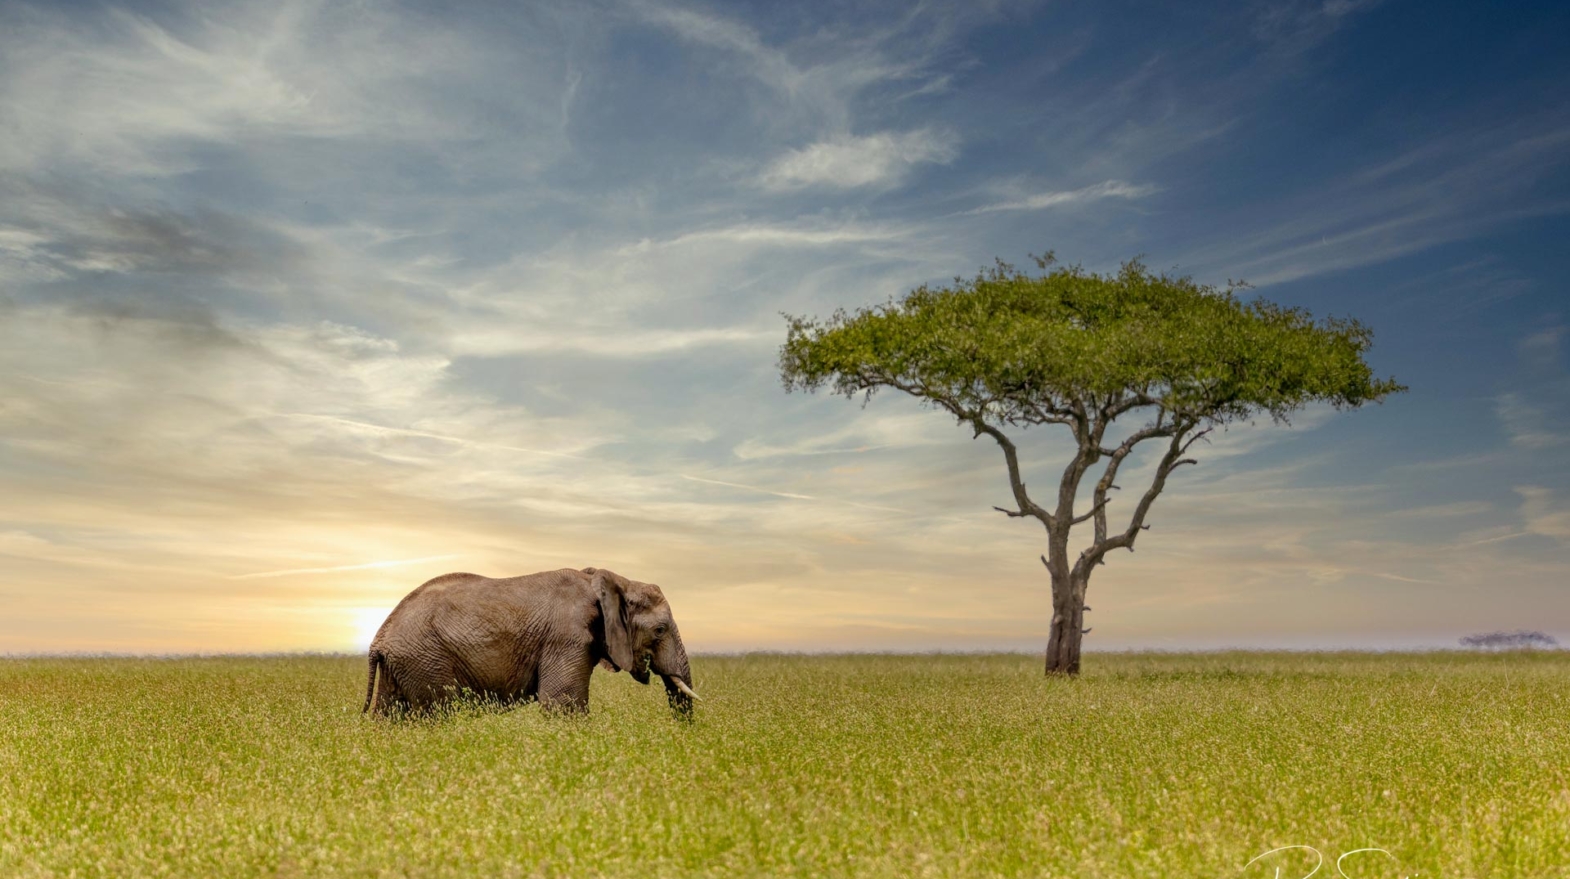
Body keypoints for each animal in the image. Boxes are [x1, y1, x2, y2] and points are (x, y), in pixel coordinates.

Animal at [361, 567, 697, 717]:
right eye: (660, 630)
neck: (613, 580)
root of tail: (379, 639)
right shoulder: (566, 638)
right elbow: (564, 704)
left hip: (404, 664)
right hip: (425, 660)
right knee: (437, 712)